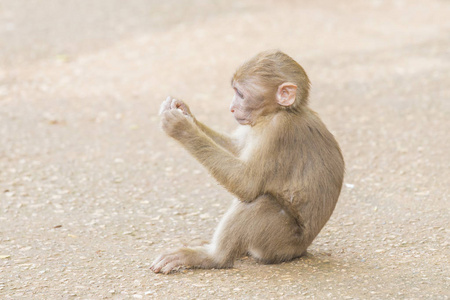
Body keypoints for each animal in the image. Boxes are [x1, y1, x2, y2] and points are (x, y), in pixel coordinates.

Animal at [151, 49, 344, 274]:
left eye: (241, 94)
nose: (232, 108)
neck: (279, 111)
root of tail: (300, 250)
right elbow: (237, 148)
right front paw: (185, 112)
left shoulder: (278, 131)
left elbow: (247, 184)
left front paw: (181, 127)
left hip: (280, 242)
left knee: (261, 203)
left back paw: (213, 257)